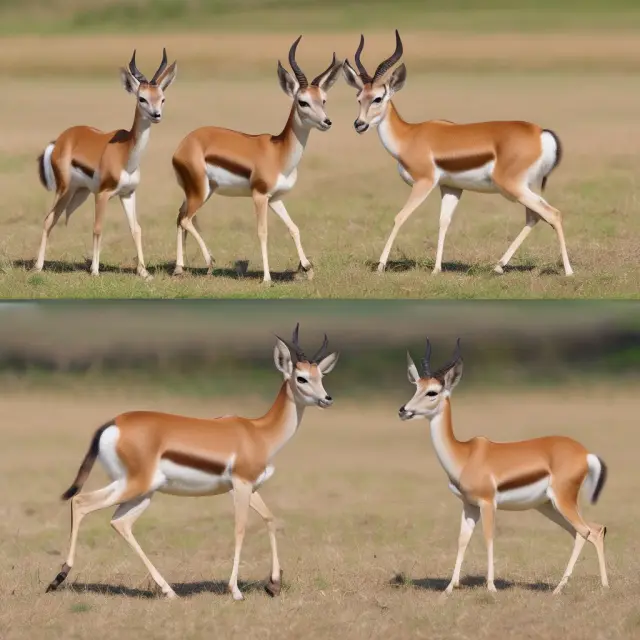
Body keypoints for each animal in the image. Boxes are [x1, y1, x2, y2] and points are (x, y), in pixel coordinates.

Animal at [34, 49, 177, 280]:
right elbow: (98, 227)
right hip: (63, 190)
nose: (156, 115)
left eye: (162, 98)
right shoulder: (102, 195)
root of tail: (60, 140)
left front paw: (144, 272)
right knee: (49, 219)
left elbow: (136, 228)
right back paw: (38, 266)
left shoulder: (128, 194)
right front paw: (94, 270)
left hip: (78, 192)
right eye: (142, 98)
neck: (125, 153)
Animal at [46, 325, 339, 601]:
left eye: (321, 376)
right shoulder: (241, 485)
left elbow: (269, 518)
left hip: (140, 490)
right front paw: (235, 590)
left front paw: (273, 584)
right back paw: (58, 578)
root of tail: (113, 423)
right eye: (301, 378)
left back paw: (168, 591)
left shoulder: (247, 488)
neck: (259, 432)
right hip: (134, 486)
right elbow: (240, 529)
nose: (327, 399)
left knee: (120, 523)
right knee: (81, 502)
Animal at [171, 36, 342, 282]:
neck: (279, 152)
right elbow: (263, 233)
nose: (327, 122)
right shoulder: (259, 196)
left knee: (180, 217)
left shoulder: (275, 198)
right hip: (200, 192)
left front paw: (307, 268)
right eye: (303, 102)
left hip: (201, 191)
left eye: (323, 100)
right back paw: (209, 262)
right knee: (186, 219)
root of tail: (183, 144)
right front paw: (267, 278)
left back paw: (179, 268)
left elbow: (294, 228)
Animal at [342, 31, 574, 277]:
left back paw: (568, 271)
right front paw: (436, 269)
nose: (359, 124)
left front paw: (381, 265)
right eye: (359, 97)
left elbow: (400, 217)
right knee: (535, 216)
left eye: (378, 98)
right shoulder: (451, 187)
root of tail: (540, 133)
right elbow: (444, 222)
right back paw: (498, 266)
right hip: (525, 187)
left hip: (513, 187)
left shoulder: (424, 183)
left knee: (552, 214)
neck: (409, 136)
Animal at [399, 339, 608, 595]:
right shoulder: (469, 506)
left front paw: (491, 587)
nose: (404, 410)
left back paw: (565, 588)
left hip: (562, 501)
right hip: (549, 506)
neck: (465, 455)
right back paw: (594, 586)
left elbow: (488, 539)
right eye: (416, 387)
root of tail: (584, 453)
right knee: (590, 531)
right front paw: (449, 588)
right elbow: (462, 541)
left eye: (432, 392)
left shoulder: (488, 503)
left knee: (587, 531)